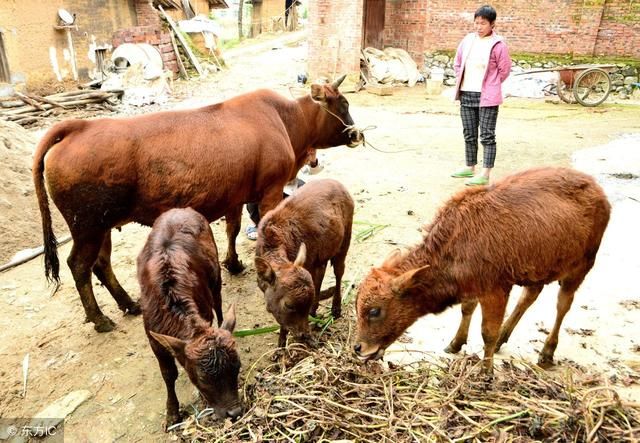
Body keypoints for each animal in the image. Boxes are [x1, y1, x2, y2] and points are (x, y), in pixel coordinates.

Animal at [138, 209, 242, 430]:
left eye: (237, 367)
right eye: (203, 379)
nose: (234, 413)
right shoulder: (153, 339)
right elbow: (168, 374)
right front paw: (172, 412)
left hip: (215, 277)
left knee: (218, 302)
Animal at [255, 179, 356, 348]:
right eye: (289, 305)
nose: (303, 335)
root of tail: (340, 184)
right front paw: (280, 345)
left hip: (346, 237)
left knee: (339, 271)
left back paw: (335, 309)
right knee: (322, 273)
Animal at [356, 166, 608, 374]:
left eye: (375, 311)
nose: (359, 347)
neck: (455, 242)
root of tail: (598, 191)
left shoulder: (495, 291)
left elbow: (487, 332)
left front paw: (486, 373)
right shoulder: (474, 287)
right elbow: (467, 309)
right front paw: (455, 343)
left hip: (580, 269)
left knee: (562, 305)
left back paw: (546, 353)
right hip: (538, 270)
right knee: (529, 297)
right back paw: (505, 338)